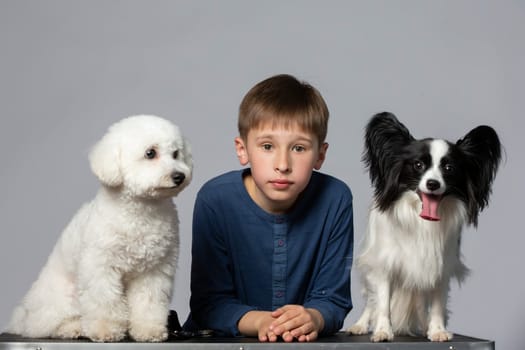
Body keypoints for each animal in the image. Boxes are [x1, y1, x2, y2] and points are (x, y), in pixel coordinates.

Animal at [5, 115, 193, 342]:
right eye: (150, 153)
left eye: (176, 154)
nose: (179, 176)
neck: (141, 211)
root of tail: (22, 318)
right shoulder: (101, 268)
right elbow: (105, 302)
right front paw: (106, 330)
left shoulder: (153, 271)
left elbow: (148, 303)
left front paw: (149, 330)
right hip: (63, 299)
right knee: (47, 325)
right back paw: (73, 328)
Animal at [348, 112, 500, 342]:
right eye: (418, 165)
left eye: (449, 168)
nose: (433, 184)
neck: (422, 220)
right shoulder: (384, 264)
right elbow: (382, 301)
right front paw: (383, 331)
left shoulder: (440, 267)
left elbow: (438, 303)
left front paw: (437, 330)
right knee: (371, 302)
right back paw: (359, 325)